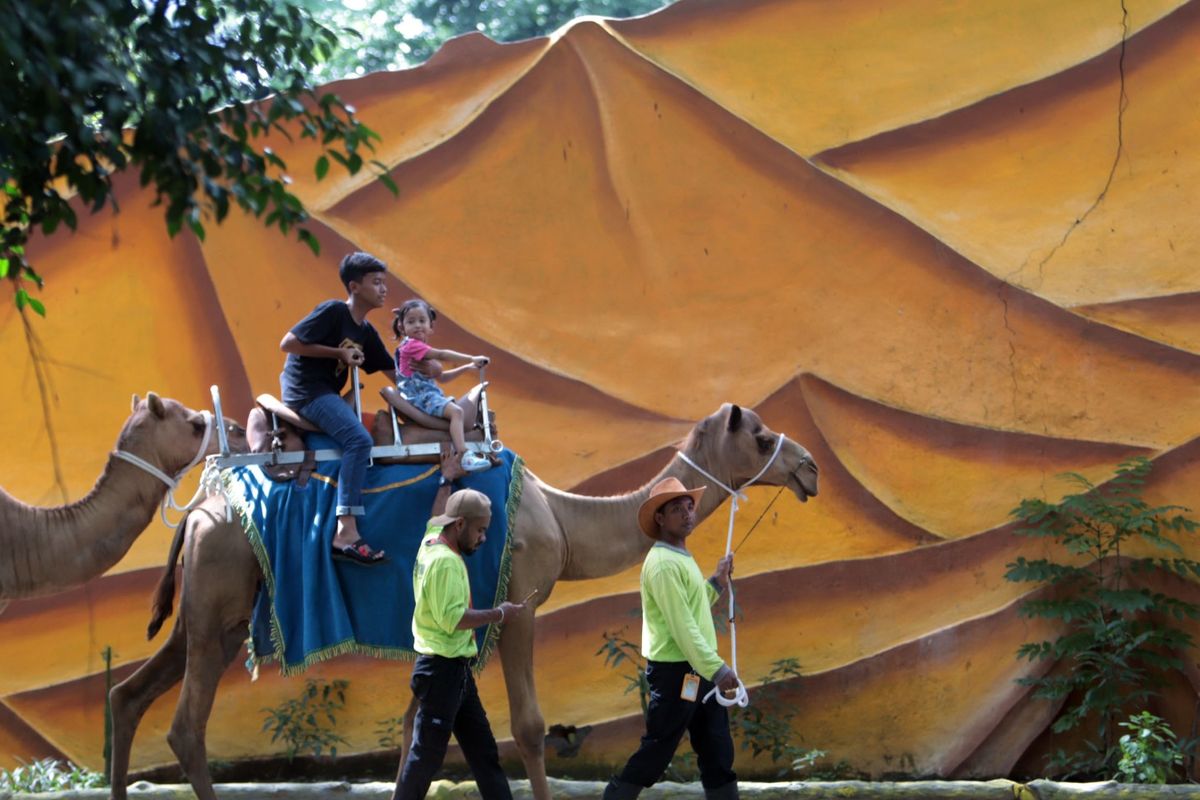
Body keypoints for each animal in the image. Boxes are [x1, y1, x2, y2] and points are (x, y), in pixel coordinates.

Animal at [109, 403, 819, 800]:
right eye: (761, 438)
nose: (809, 467)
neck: (561, 519)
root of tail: (198, 508)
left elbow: (415, 728)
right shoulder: (520, 605)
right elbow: (528, 726)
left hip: (212, 613)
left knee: (129, 694)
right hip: (218, 601)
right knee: (185, 725)